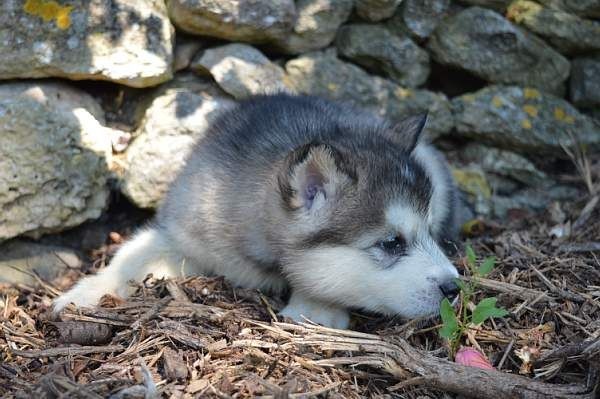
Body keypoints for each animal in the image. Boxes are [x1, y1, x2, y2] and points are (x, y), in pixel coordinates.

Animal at [54, 94, 462, 328]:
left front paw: (316, 306)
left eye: (428, 233)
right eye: (391, 243)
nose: (454, 288)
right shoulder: (183, 233)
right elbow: (129, 256)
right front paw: (83, 293)